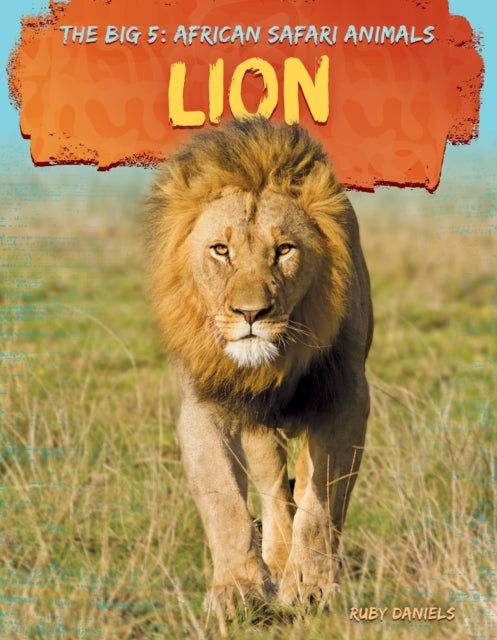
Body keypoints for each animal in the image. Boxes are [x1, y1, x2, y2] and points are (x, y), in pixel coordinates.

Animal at [144, 118, 373, 619]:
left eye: (284, 249)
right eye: (220, 250)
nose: (252, 314)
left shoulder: (346, 399)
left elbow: (320, 504)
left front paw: (312, 586)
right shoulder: (204, 405)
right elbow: (224, 502)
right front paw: (238, 588)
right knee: (272, 488)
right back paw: (276, 556)